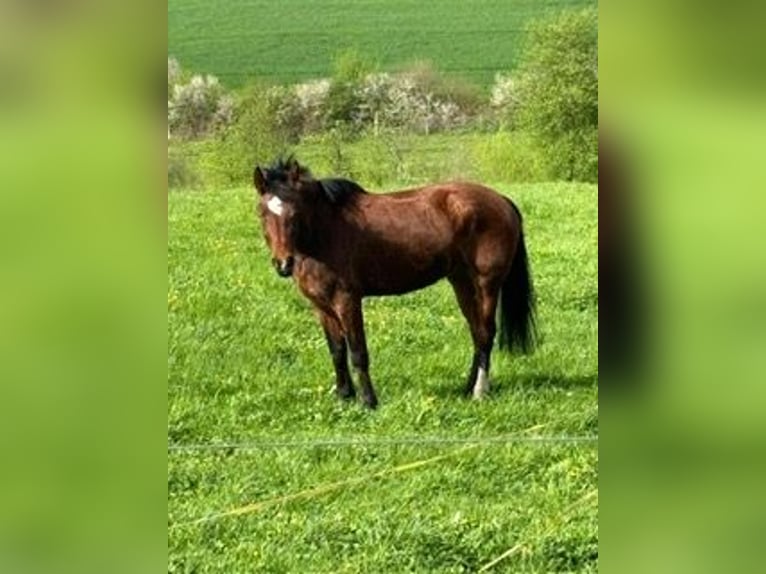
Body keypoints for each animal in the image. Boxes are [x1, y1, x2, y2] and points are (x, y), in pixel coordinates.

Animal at [255, 155, 536, 410]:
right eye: (262, 213)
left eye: (296, 212)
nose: (283, 263)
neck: (324, 233)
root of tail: (501, 200)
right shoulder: (321, 306)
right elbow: (337, 351)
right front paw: (344, 397)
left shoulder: (347, 300)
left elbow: (357, 352)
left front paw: (368, 402)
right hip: (462, 283)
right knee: (476, 333)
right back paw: (468, 388)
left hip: (487, 284)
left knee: (486, 333)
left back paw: (479, 391)